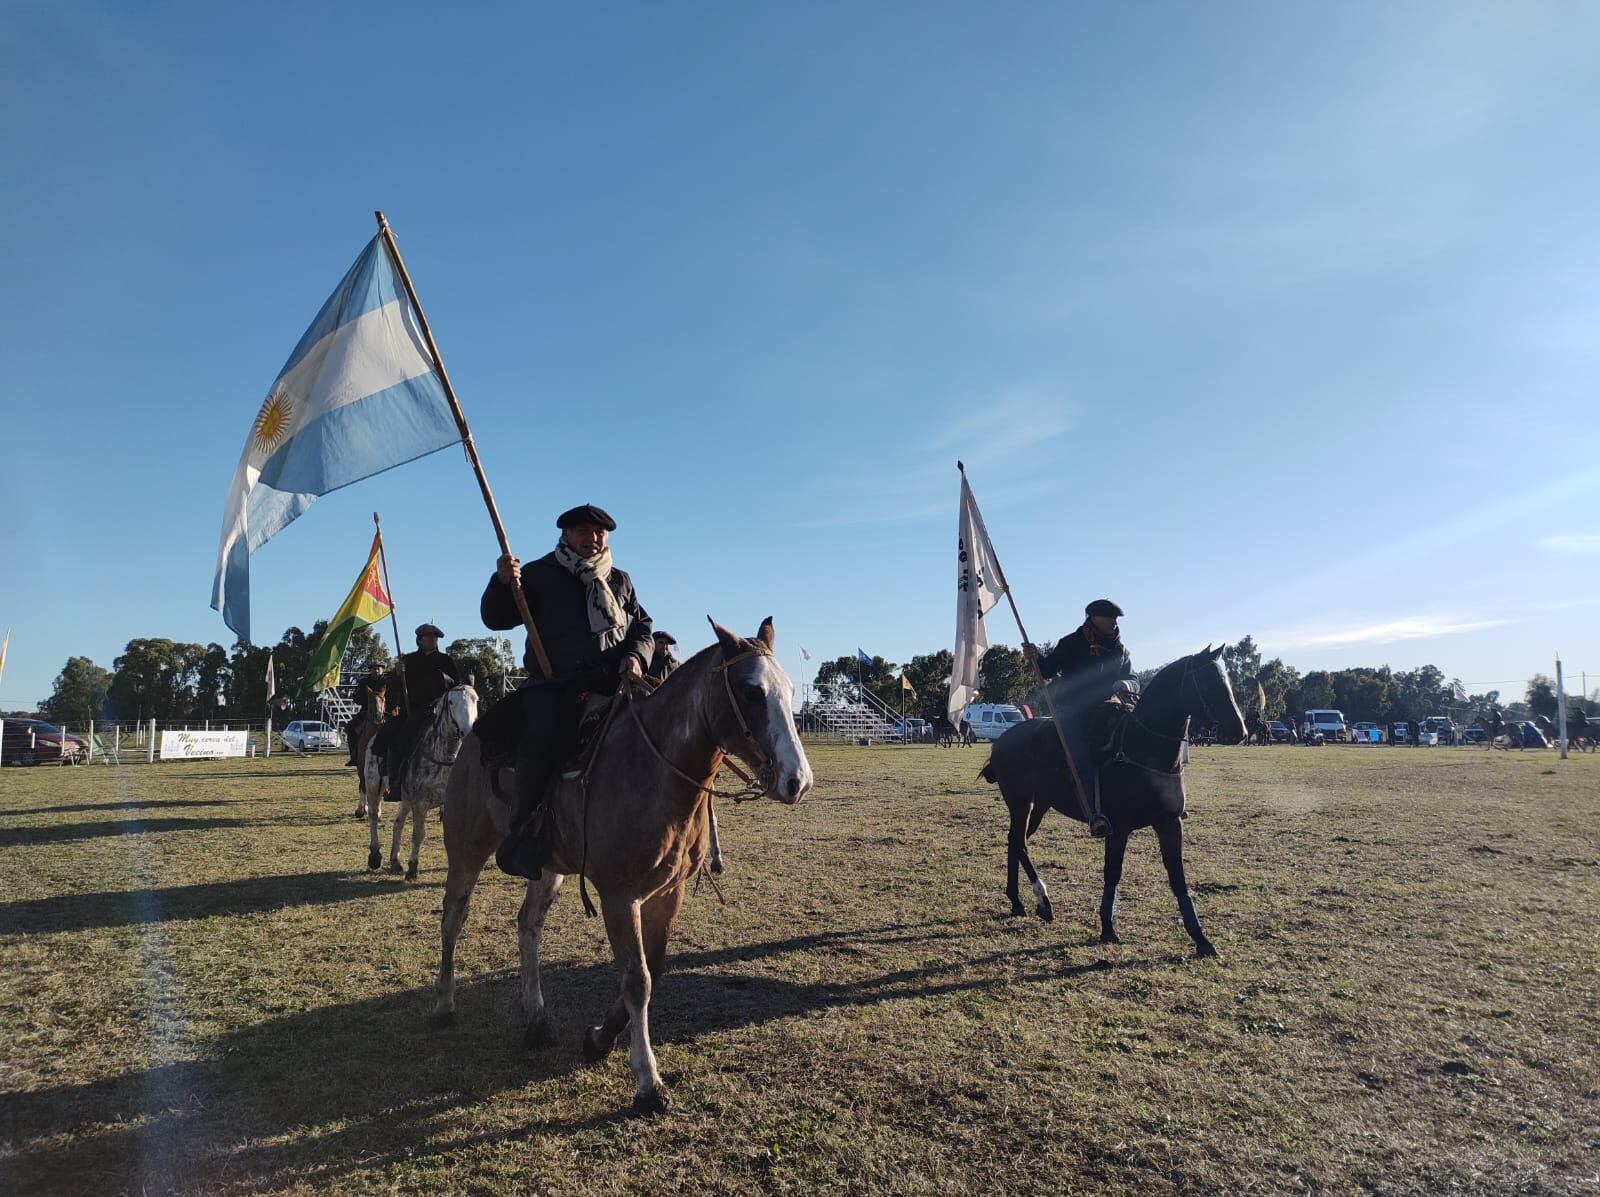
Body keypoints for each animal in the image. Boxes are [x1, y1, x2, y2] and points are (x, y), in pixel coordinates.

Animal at [364, 681, 476, 876]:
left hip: (405, 798)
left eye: (475, 699)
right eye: (451, 702)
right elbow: (418, 834)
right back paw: (375, 855)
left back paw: (395, 861)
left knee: (398, 823)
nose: (467, 732)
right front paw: (412, 867)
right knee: (373, 816)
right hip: (373, 788)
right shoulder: (420, 803)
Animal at [432, 620, 812, 1120]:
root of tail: (474, 735)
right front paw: (648, 1082)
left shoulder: (667, 893)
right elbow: (637, 980)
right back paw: (445, 1003)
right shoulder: (618, 895)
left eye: (790, 691)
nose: (797, 780)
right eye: (752, 692)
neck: (655, 771)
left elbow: (654, 967)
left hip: (548, 867)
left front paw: (598, 1039)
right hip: (467, 850)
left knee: (528, 925)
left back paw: (536, 1018)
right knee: (453, 918)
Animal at [972, 646, 1248, 953]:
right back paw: (1042, 899)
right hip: (1020, 802)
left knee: (1014, 841)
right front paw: (1107, 926)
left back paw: (1018, 901)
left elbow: (1178, 877)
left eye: (1227, 683)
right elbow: (1112, 872)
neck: (1143, 748)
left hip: (1038, 805)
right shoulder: (1118, 828)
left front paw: (1201, 938)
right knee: (1019, 842)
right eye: (1210, 685)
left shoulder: (1169, 823)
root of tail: (1002, 741)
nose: (1240, 732)